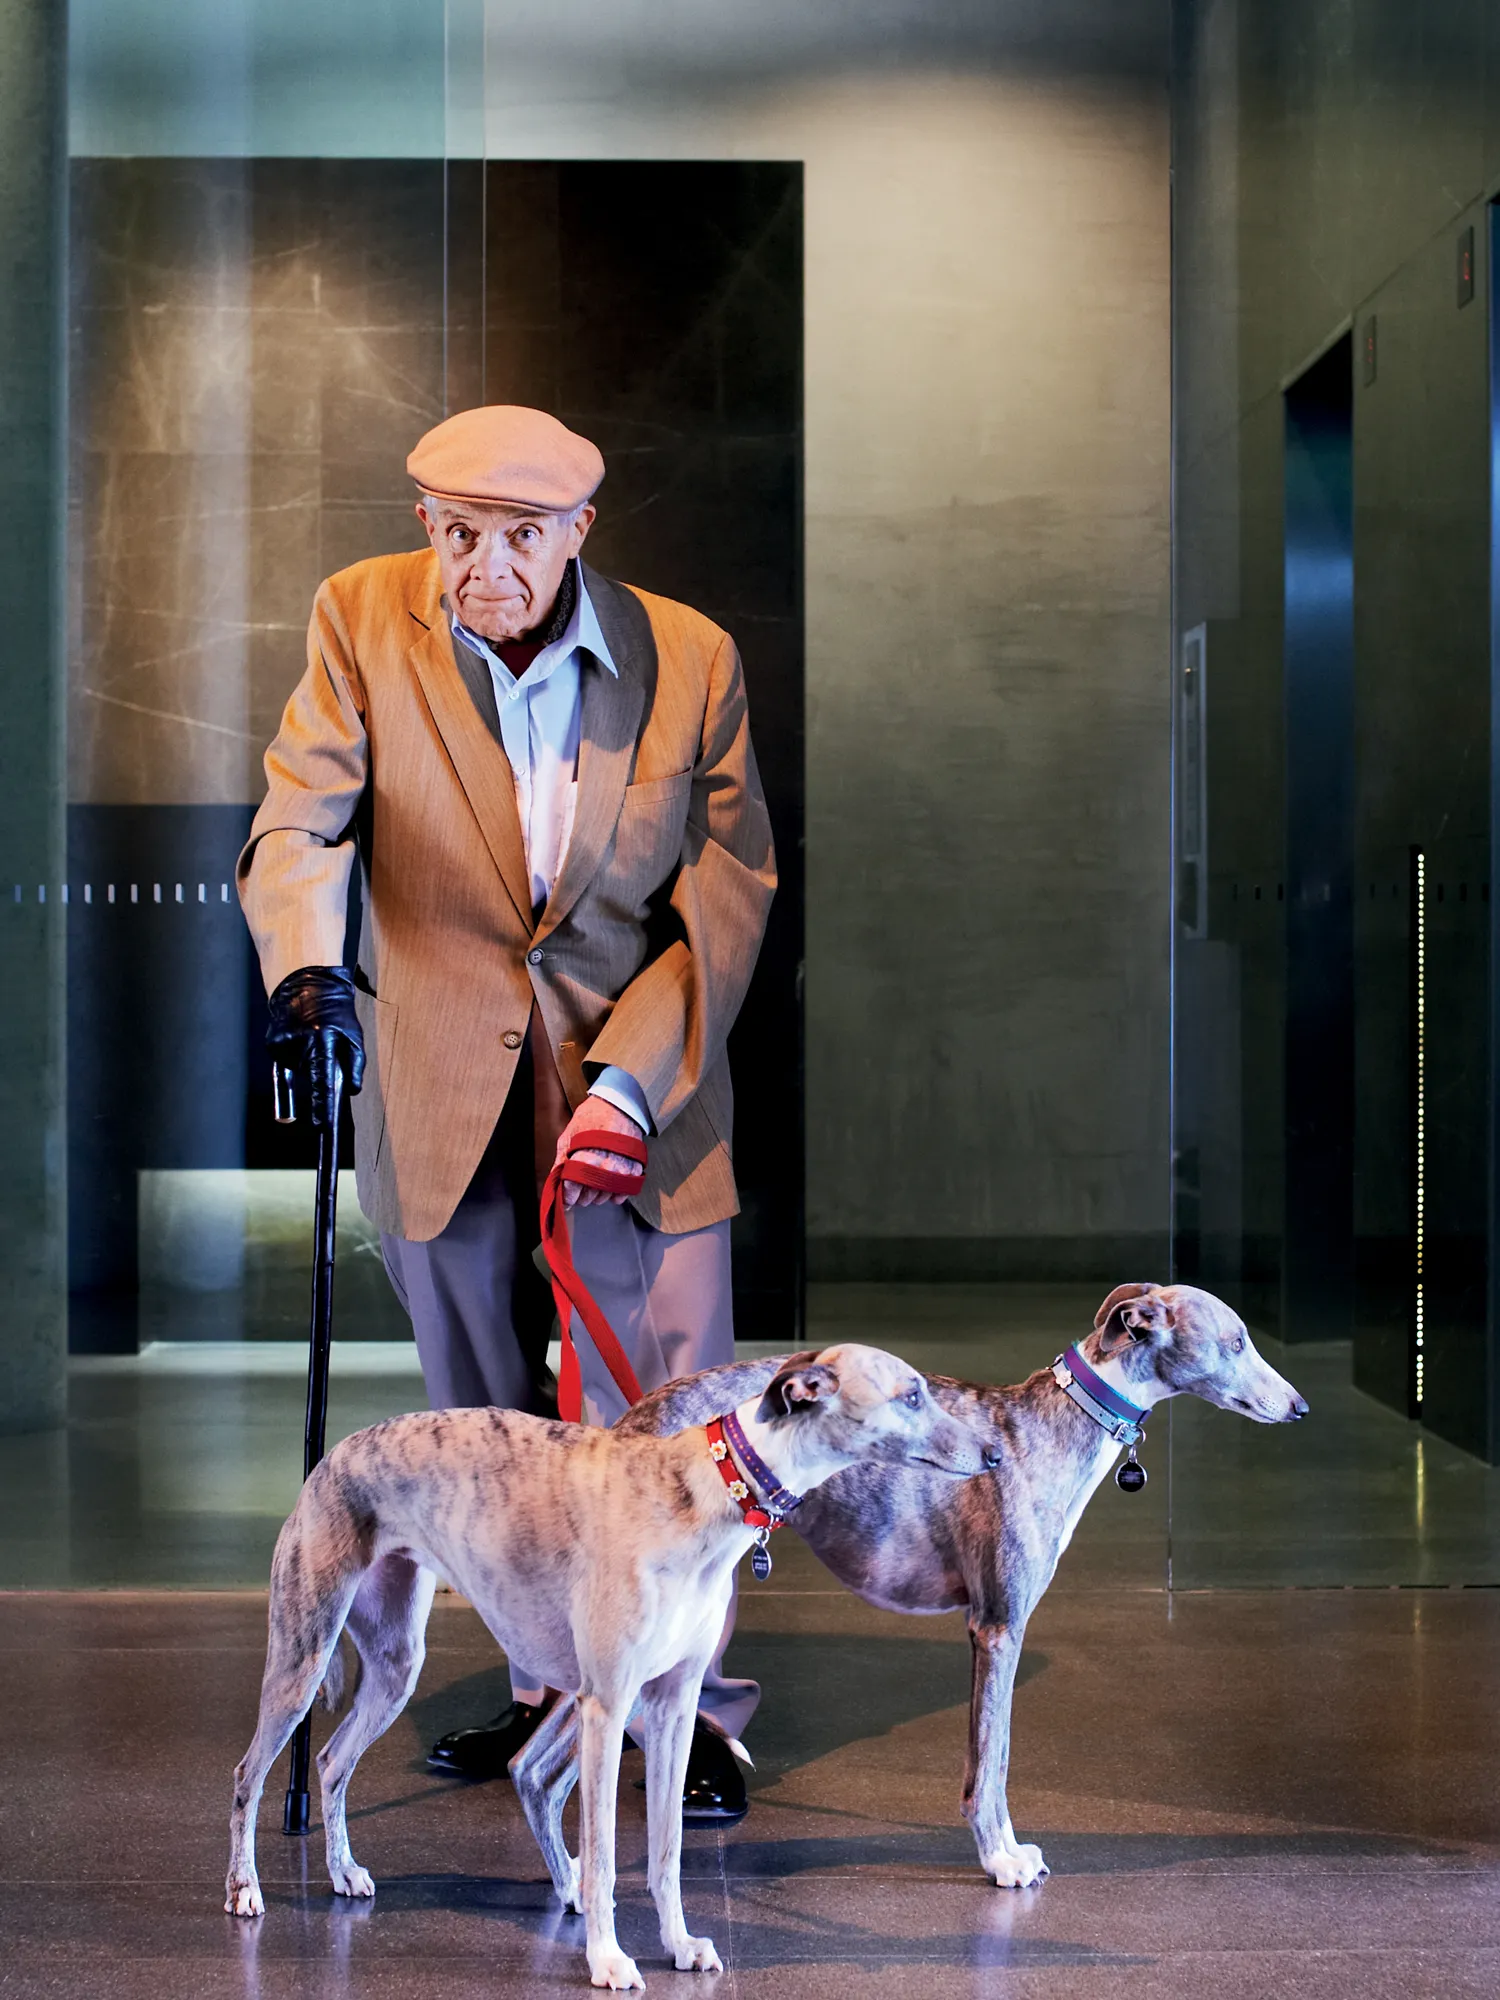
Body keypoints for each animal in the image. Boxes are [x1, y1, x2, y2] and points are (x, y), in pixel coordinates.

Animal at [225, 1342, 994, 1990]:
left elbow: (666, 1851)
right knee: (249, 1774)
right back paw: (244, 1889)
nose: (992, 1454)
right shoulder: (608, 1704)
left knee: (330, 1761)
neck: (703, 1488)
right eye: (913, 1395)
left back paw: (343, 1871)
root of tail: (334, 1453)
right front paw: (607, 1959)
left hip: (394, 1667)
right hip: (301, 1654)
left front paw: (680, 1945)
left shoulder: (675, 1706)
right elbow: (599, 1857)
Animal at [523, 1281, 1304, 1892]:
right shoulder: (998, 1627)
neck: (1047, 1427)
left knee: (531, 1766)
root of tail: (636, 1420)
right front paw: (1002, 1860)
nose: (1300, 1408)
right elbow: (991, 1764)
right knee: (544, 1769)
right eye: (1237, 1341)